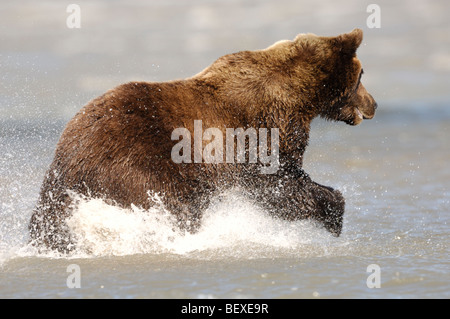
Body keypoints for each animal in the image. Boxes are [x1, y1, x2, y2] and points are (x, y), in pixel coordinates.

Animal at [29, 30, 376, 254]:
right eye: (361, 76)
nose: (373, 104)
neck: (299, 96)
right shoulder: (258, 129)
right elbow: (278, 185)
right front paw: (334, 215)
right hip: (136, 163)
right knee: (173, 206)